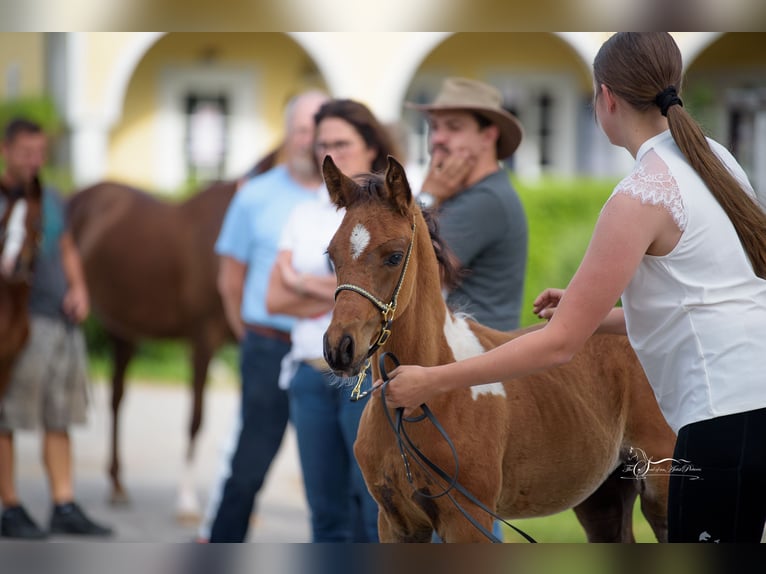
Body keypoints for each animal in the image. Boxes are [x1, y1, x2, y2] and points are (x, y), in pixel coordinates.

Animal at [68, 180, 237, 520]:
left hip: (123, 330)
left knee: (116, 397)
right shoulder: (203, 338)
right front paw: (186, 501)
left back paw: (117, 484)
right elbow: (196, 418)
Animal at [320, 158, 676, 544]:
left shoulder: (468, 519)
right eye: (332, 255)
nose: (340, 348)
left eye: (394, 256)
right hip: (602, 496)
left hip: (662, 485)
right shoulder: (396, 521)